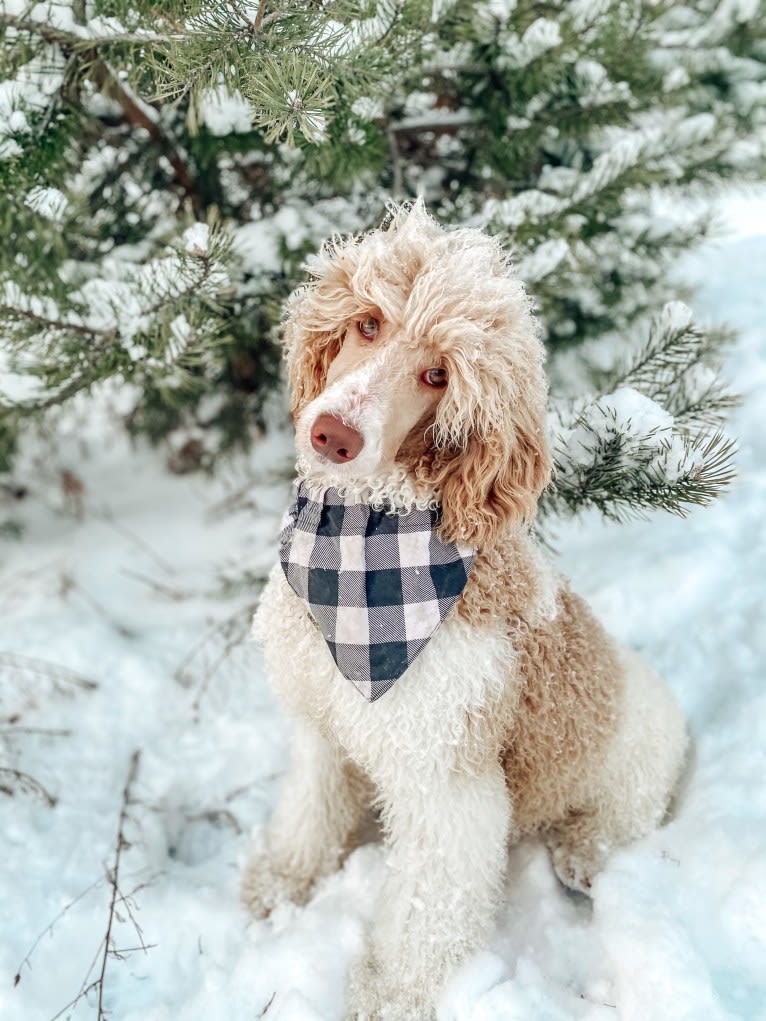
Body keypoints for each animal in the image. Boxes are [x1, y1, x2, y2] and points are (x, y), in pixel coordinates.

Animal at [241, 203, 690, 1021]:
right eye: (368, 324)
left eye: (438, 375)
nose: (332, 434)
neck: (361, 549)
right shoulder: (321, 729)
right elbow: (309, 809)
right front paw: (285, 879)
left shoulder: (447, 780)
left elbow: (428, 907)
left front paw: (392, 993)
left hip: (628, 776)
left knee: (619, 825)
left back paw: (585, 855)